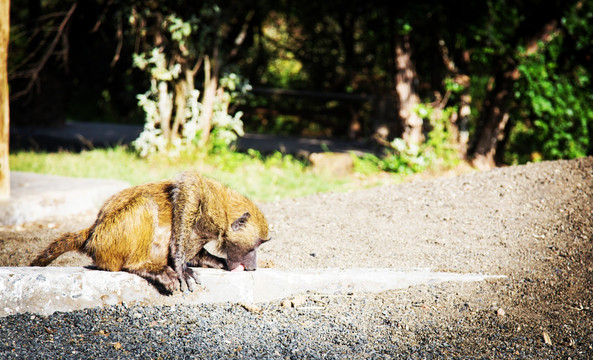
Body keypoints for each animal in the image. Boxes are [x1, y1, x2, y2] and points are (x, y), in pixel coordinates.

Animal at [30, 171, 270, 292]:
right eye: (257, 244)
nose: (253, 266)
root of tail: (92, 231)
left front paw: (213, 261)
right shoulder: (210, 202)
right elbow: (188, 185)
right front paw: (180, 265)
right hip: (108, 241)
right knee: (145, 204)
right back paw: (142, 266)